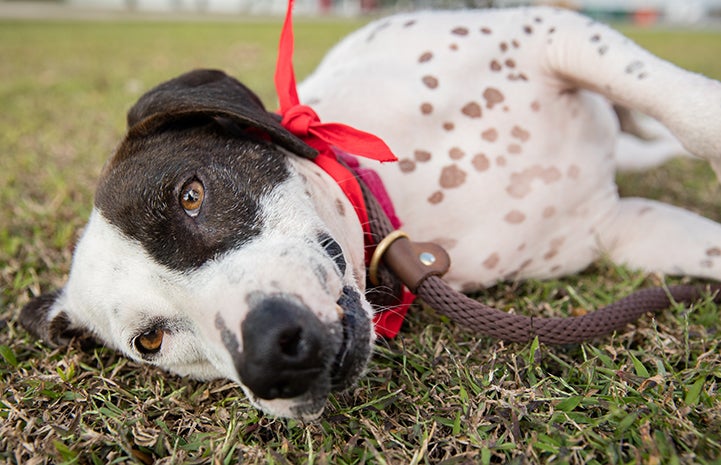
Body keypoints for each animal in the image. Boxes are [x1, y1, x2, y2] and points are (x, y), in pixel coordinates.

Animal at [19, 6, 720, 420]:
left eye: (191, 196)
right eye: (151, 341)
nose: (270, 357)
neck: (403, 190)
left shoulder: (559, 33)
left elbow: (693, 112)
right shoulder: (624, 231)